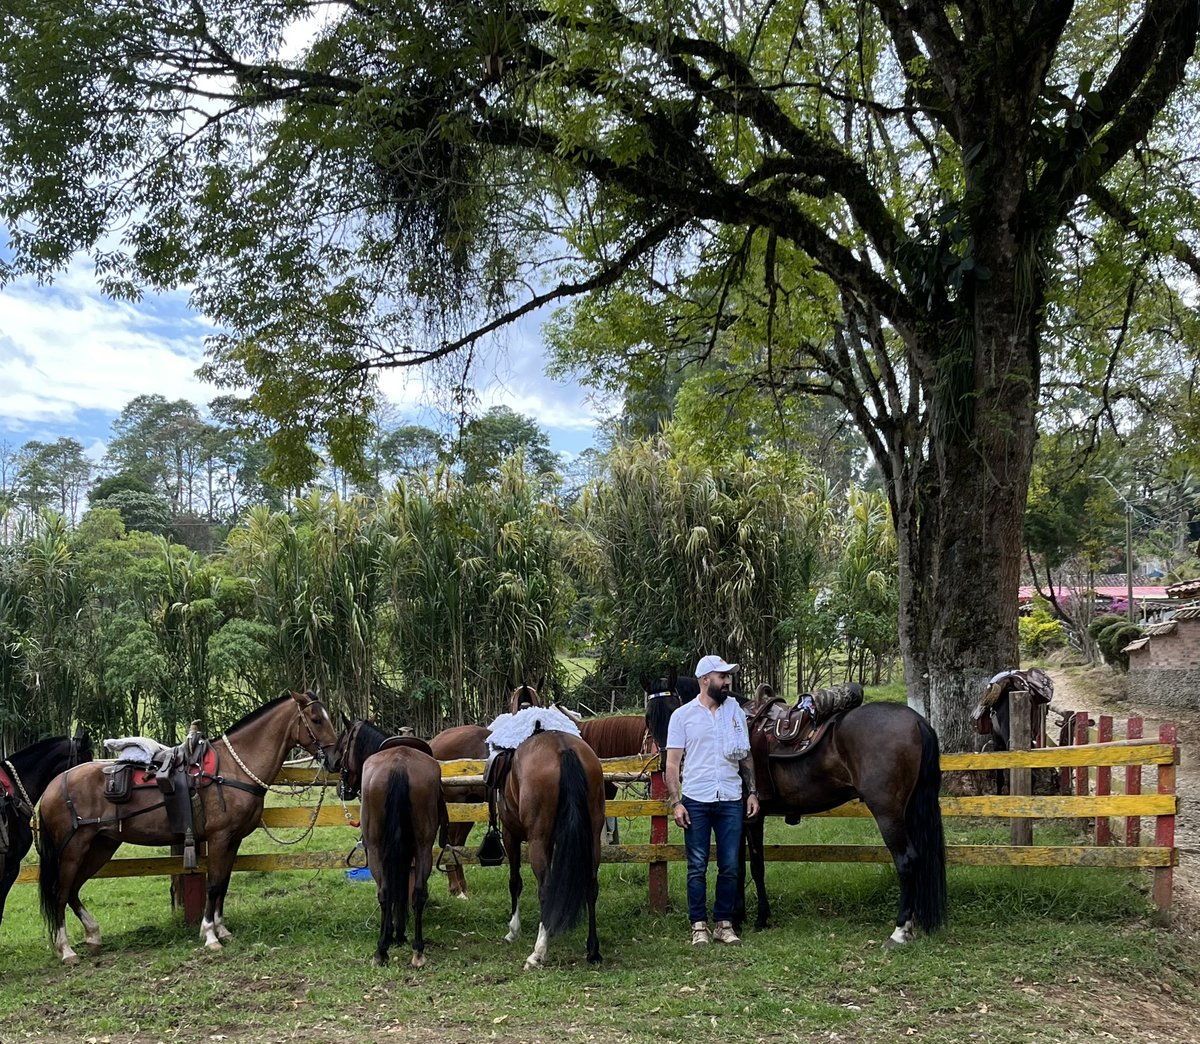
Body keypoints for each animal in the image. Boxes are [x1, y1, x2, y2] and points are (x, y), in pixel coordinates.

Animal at [38, 696, 338, 964]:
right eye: (316, 719)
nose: (335, 759)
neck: (233, 769)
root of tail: (53, 786)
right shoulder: (220, 838)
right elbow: (214, 884)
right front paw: (210, 936)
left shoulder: (233, 841)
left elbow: (223, 883)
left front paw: (222, 930)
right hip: (74, 849)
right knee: (61, 892)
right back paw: (67, 950)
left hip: (100, 847)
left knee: (73, 890)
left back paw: (93, 935)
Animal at [336, 724, 448, 969]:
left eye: (342, 747)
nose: (341, 789)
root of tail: (399, 765)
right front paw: (399, 933)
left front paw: (395, 935)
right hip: (423, 847)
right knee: (417, 893)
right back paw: (417, 950)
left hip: (375, 850)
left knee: (385, 892)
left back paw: (381, 950)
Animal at [499, 729, 609, 969]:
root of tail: (563, 747)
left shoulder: (510, 835)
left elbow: (515, 881)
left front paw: (513, 930)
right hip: (593, 837)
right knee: (591, 886)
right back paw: (593, 950)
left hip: (537, 841)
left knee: (546, 888)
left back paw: (537, 952)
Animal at [648, 686, 945, 950]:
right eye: (649, 715)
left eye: (672, 710)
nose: (666, 762)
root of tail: (917, 720)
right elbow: (742, 865)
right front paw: (744, 917)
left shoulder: (749, 817)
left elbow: (751, 867)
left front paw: (752, 918)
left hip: (888, 813)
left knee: (906, 861)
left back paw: (900, 930)